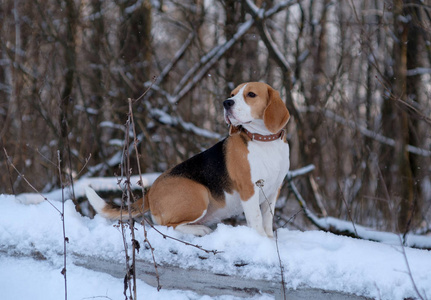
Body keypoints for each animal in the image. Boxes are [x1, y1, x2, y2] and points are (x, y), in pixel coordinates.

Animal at [86, 82, 290, 237]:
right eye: (232, 94)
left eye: (251, 94)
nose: (226, 102)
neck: (264, 141)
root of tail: (150, 193)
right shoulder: (249, 189)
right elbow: (256, 219)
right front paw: (262, 241)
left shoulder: (274, 190)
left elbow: (267, 218)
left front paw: (269, 238)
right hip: (199, 194)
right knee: (169, 226)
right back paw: (200, 229)